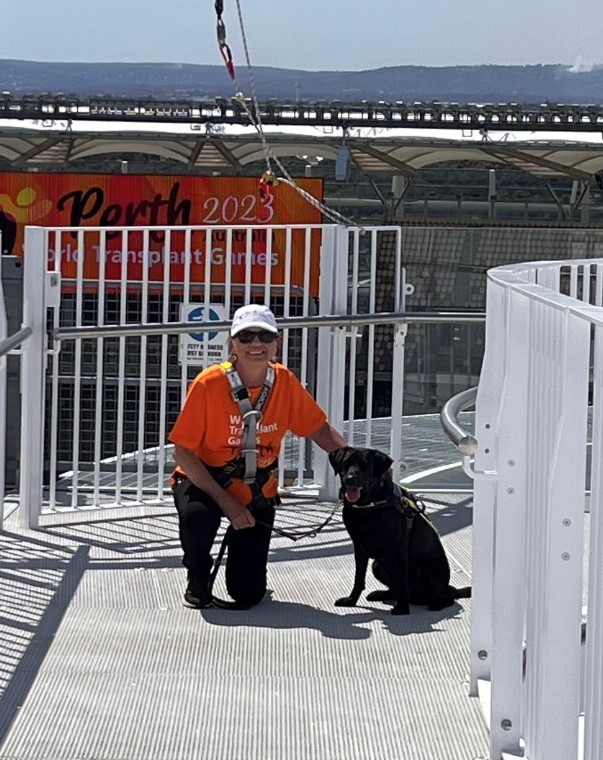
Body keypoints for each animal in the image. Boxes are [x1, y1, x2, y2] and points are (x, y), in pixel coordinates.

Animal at [330, 448, 472, 616]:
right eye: (346, 463)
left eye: (365, 465)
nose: (350, 479)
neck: (368, 505)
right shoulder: (359, 546)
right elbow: (358, 578)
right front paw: (351, 600)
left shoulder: (398, 547)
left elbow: (403, 580)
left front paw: (403, 609)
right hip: (378, 565)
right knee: (397, 589)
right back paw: (381, 594)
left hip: (424, 568)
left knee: (446, 596)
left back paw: (436, 603)